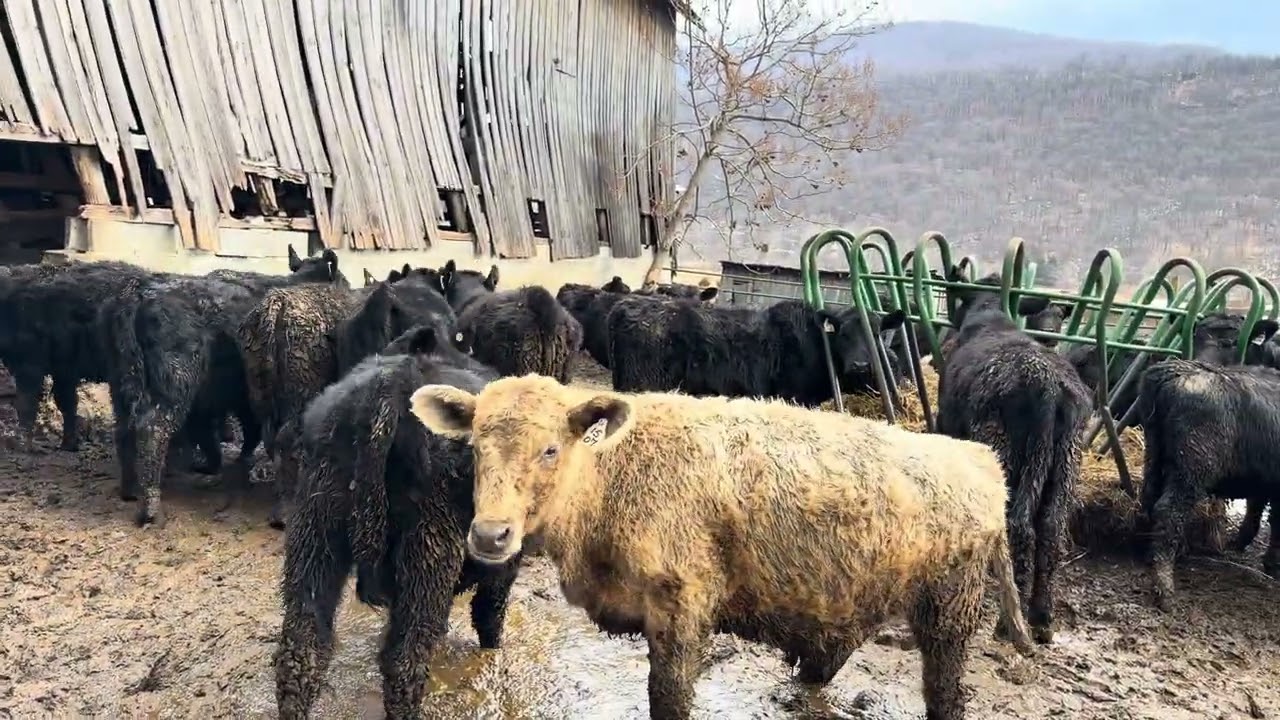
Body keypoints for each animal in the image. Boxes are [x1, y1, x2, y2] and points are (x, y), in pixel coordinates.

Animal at [274, 325, 519, 720]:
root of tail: (394, 383)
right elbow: (490, 615)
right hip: (428, 550)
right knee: (403, 662)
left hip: (315, 533)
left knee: (301, 650)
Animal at [936, 267, 1091, 645]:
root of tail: (1048, 385)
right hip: (1066, 459)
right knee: (1051, 526)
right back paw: (1042, 617)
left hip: (1003, 452)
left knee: (1019, 523)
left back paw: (1010, 622)